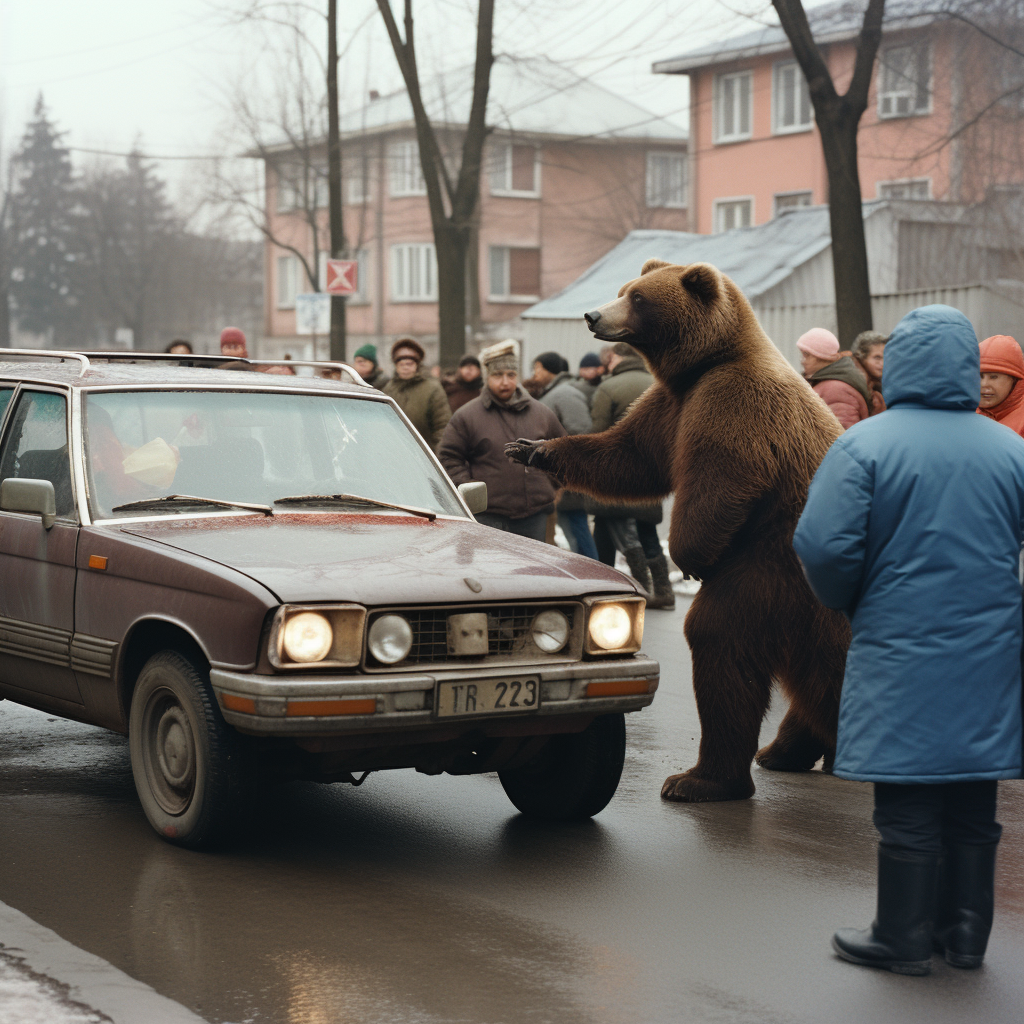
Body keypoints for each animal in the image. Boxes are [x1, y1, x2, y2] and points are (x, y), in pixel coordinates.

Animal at [507, 260, 851, 802]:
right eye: (625, 289)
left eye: (639, 298)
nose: (593, 315)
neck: (704, 363)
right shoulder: (672, 405)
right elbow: (629, 456)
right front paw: (533, 448)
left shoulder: (729, 402)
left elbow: (721, 477)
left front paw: (690, 556)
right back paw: (773, 754)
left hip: (770, 567)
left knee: (729, 640)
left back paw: (701, 779)